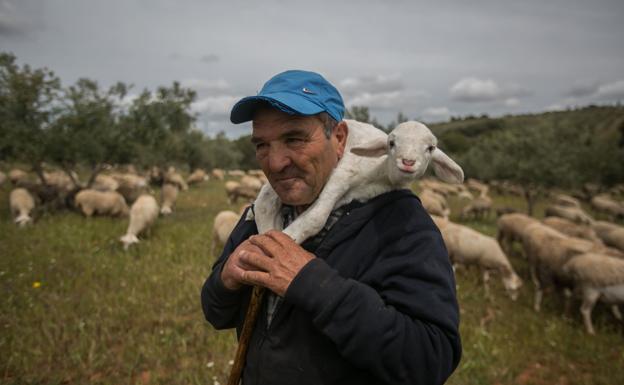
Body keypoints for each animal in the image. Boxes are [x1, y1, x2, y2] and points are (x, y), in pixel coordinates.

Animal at [252, 119, 464, 243]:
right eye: (391, 143)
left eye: (430, 148)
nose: (408, 162)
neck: (378, 172)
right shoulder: (343, 172)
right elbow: (317, 217)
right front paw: (287, 237)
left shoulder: (360, 191)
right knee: (264, 202)